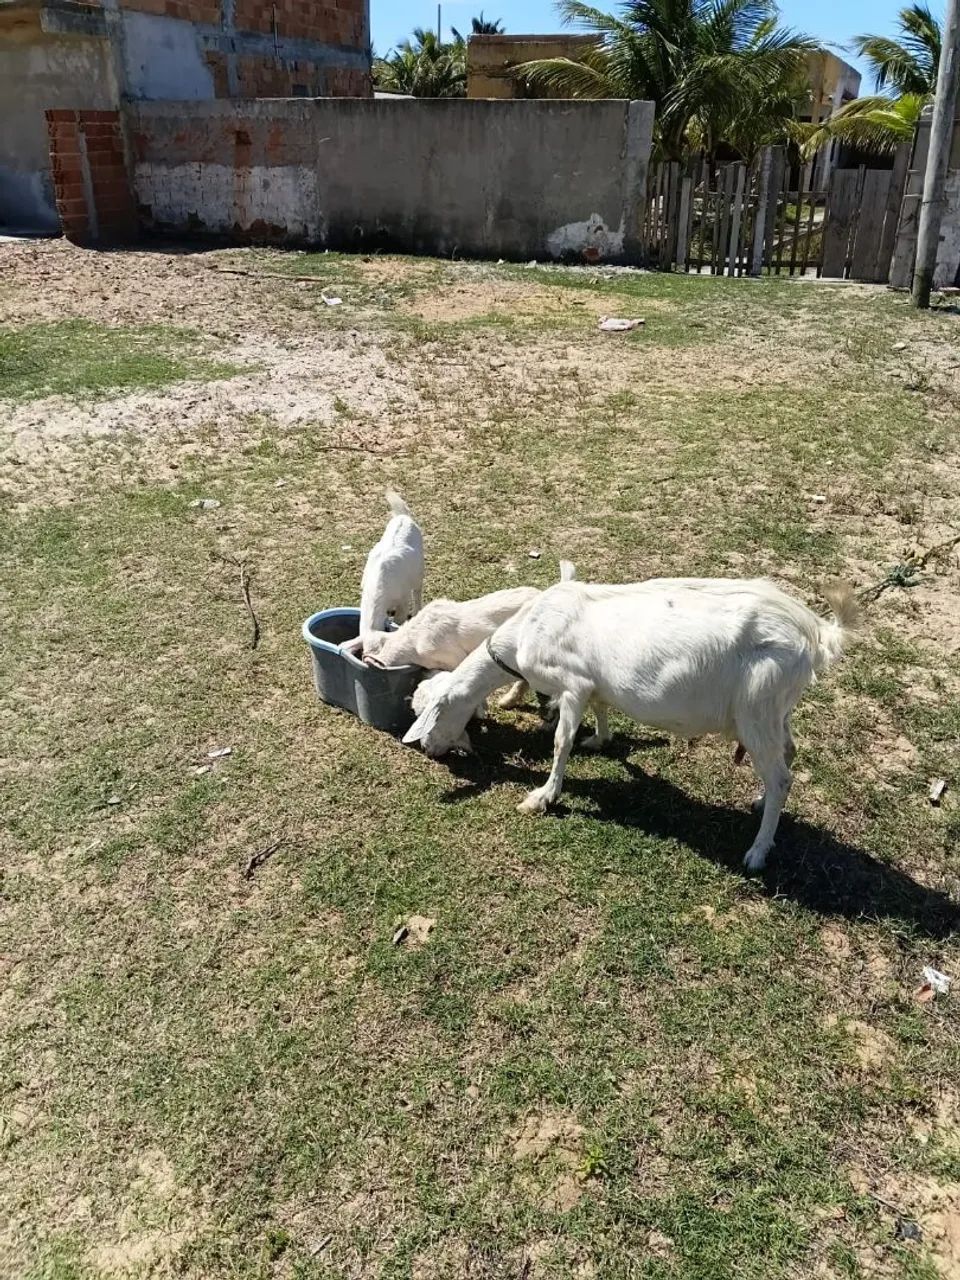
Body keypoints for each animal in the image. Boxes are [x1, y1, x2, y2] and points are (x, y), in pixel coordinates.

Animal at [403, 577, 859, 871]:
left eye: (430, 716)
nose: (430, 750)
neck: (525, 633)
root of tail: (814, 634)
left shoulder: (571, 683)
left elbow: (562, 742)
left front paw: (543, 796)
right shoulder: (591, 684)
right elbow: (601, 710)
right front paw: (601, 741)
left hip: (756, 709)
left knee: (781, 776)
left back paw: (758, 852)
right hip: (777, 710)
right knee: (789, 754)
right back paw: (762, 803)